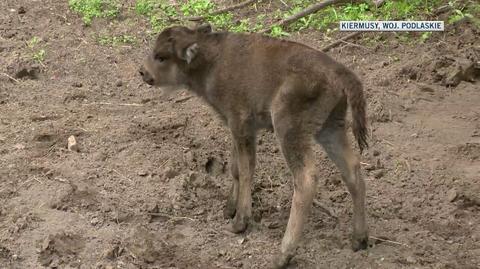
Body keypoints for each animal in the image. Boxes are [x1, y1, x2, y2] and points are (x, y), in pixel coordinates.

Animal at [141, 24, 370, 266]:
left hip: (289, 130)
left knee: (305, 179)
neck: (210, 60)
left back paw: (282, 255)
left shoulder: (241, 125)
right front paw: (228, 209)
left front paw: (239, 222)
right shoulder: (235, 128)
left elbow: (245, 169)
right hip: (330, 128)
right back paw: (359, 239)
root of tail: (340, 72)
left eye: (161, 56)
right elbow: (235, 168)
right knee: (352, 169)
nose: (143, 72)